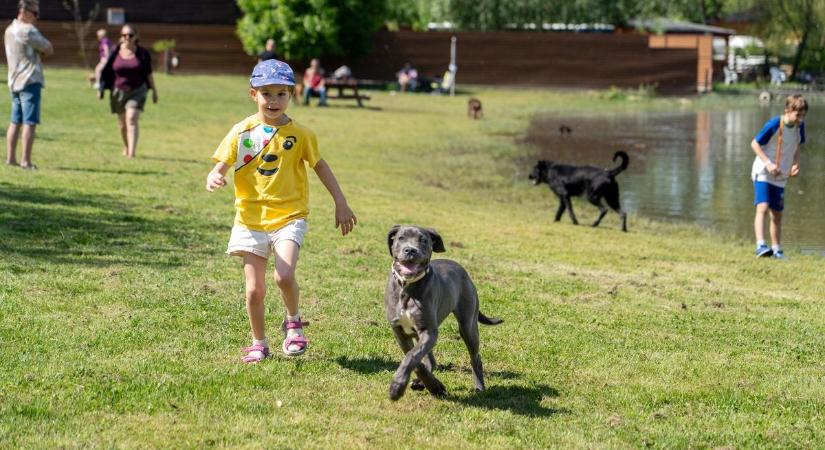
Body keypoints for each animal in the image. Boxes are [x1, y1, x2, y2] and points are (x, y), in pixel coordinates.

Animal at [384, 225, 502, 400]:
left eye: (423, 240)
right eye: (401, 238)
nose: (410, 250)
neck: (407, 288)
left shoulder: (429, 331)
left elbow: (411, 357)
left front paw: (397, 387)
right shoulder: (400, 332)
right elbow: (415, 360)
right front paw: (433, 386)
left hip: (468, 326)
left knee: (476, 358)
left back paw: (479, 387)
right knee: (430, 361)